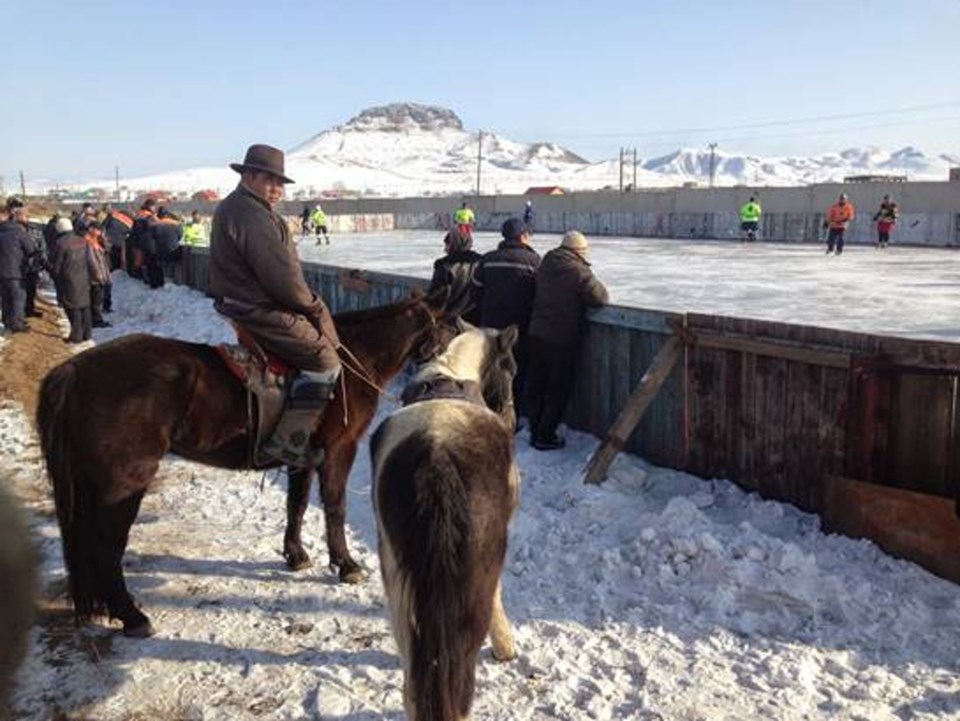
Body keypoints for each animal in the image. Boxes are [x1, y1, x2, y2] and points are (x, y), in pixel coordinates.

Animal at [33, 286, 446, 636]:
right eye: (452, 323)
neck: (353, 359)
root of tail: (74, 372)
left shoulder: (302, 458)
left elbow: (296, 504)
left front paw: (295, 555)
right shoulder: (339, 450)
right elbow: (334, 507)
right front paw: (345, 564)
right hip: (123, 482)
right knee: (106, 546)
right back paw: (131, 615)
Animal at [370, 326, 516, 720]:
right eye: (511, 368)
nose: (513, 418)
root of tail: (436, 460)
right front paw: (506, 646)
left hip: (399, 584)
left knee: (415, 683)